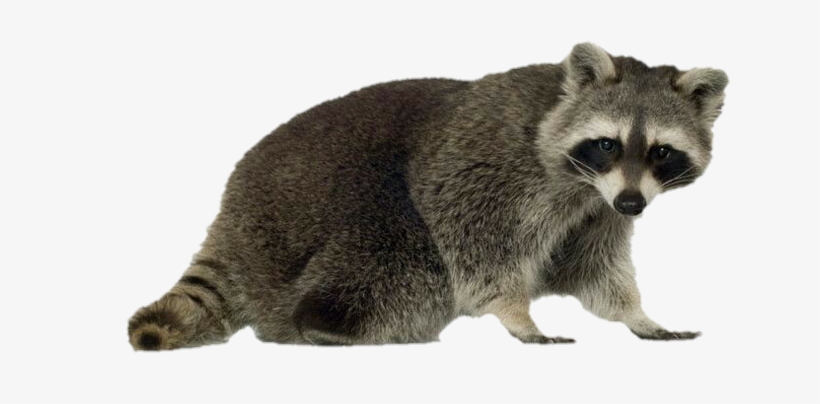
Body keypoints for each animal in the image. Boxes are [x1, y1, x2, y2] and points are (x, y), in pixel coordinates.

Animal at [128, 43, 727, 349]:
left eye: (662, 152)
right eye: (607, 143)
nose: (633, 205)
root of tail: (234, 210)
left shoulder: (596, 210)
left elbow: (598, 268)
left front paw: (637, 314)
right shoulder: (487, 168)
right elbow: (477, 246)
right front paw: (518, 315)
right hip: (330, 210)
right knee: (401, 264)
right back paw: (326, 323)